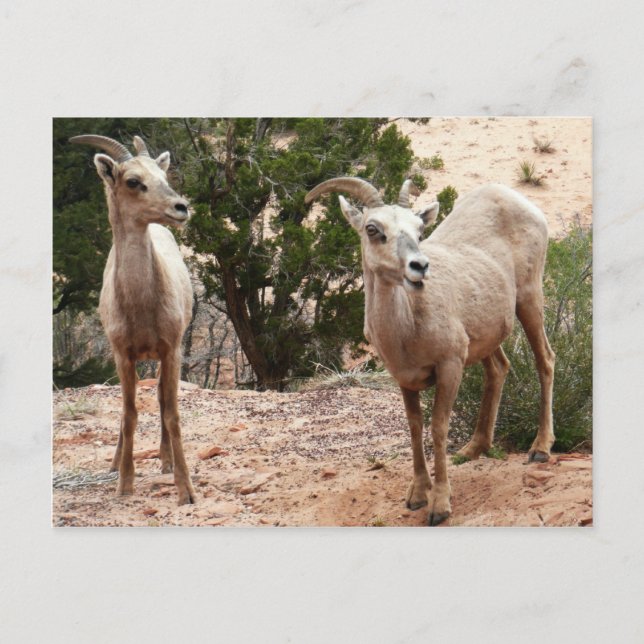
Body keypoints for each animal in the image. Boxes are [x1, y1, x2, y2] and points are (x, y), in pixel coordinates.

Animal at [70, 134, 196, 505]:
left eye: (163, 175)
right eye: (133, 181)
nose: (181, 208)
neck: (141, 306)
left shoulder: (171, 349)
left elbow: (171, 412)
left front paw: (185, 489)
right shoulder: (122, 354)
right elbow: (128, 414)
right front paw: (124, 483)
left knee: (163, 399)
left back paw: (166, 461)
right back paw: (115, 463)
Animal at [305, 177, 555, 525]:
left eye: (419, 229)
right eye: (372, 228)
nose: (419, 267)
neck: (407, 327)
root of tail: (513, 197)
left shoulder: (450, 366)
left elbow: (438, 427)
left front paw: (439, 506)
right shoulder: (404, 379)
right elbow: (414, 428)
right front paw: (416, 496)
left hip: (529, 300)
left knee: (545, 360)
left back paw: (540, 449)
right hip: (487, 335)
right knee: (499, 368)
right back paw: (472, 450)